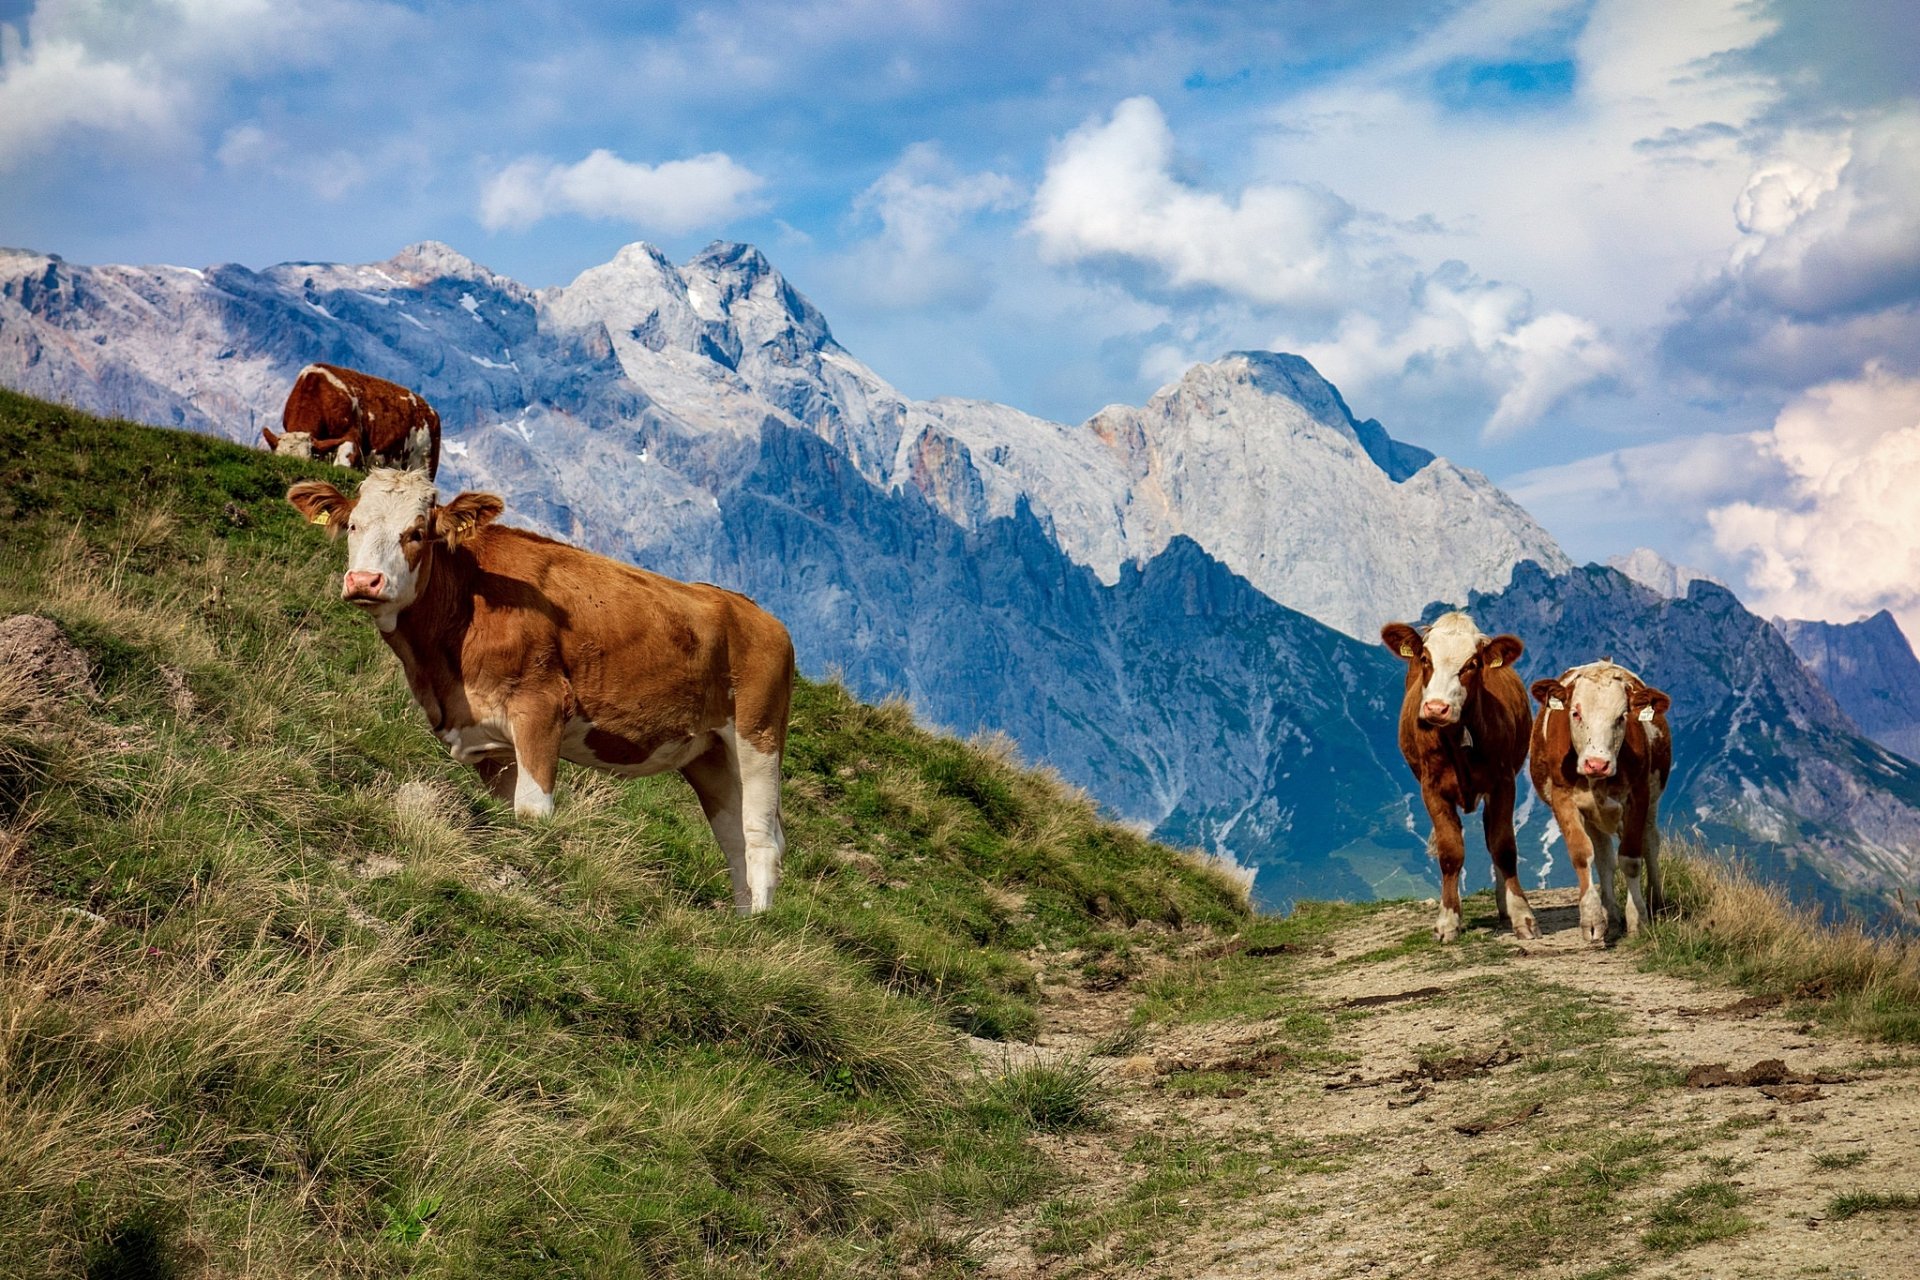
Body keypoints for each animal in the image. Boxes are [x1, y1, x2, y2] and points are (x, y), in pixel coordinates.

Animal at [287, 469, 795, 914]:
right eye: (353, 525)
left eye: (415, 533)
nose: (364, 582)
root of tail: (757, 614)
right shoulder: (490, 741)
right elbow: (507, 813)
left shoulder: (541, 707)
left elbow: (532, 812)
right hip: (711, 756)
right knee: (735, 837)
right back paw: (738, 922)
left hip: (757, 739)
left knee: (761, 839)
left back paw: (756, 931)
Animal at [1382, 612, 1536, 942]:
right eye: (1425, 659)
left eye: (1472, 664)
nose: (1436, 708)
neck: (1455, 736)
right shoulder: (1432, 788)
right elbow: (1450, 851)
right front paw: (1448, 921)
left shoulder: (1503, 782)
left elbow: (1504, 847)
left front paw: (1521, 915)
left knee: (1493, 837)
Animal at [1528, 661, 1672, 946]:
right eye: (1575, 713)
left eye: (1622, 717)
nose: (1597, 763)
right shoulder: (1563, 800)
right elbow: (1583, 855)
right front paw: (1594, 921)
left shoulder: (1638, 797)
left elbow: (1631, 858)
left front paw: (1638, 919)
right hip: (1594, 817)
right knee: (1604, 857)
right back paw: (1612, 915)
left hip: (1651, 801)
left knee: (1650, 843)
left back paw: (1656, 904)